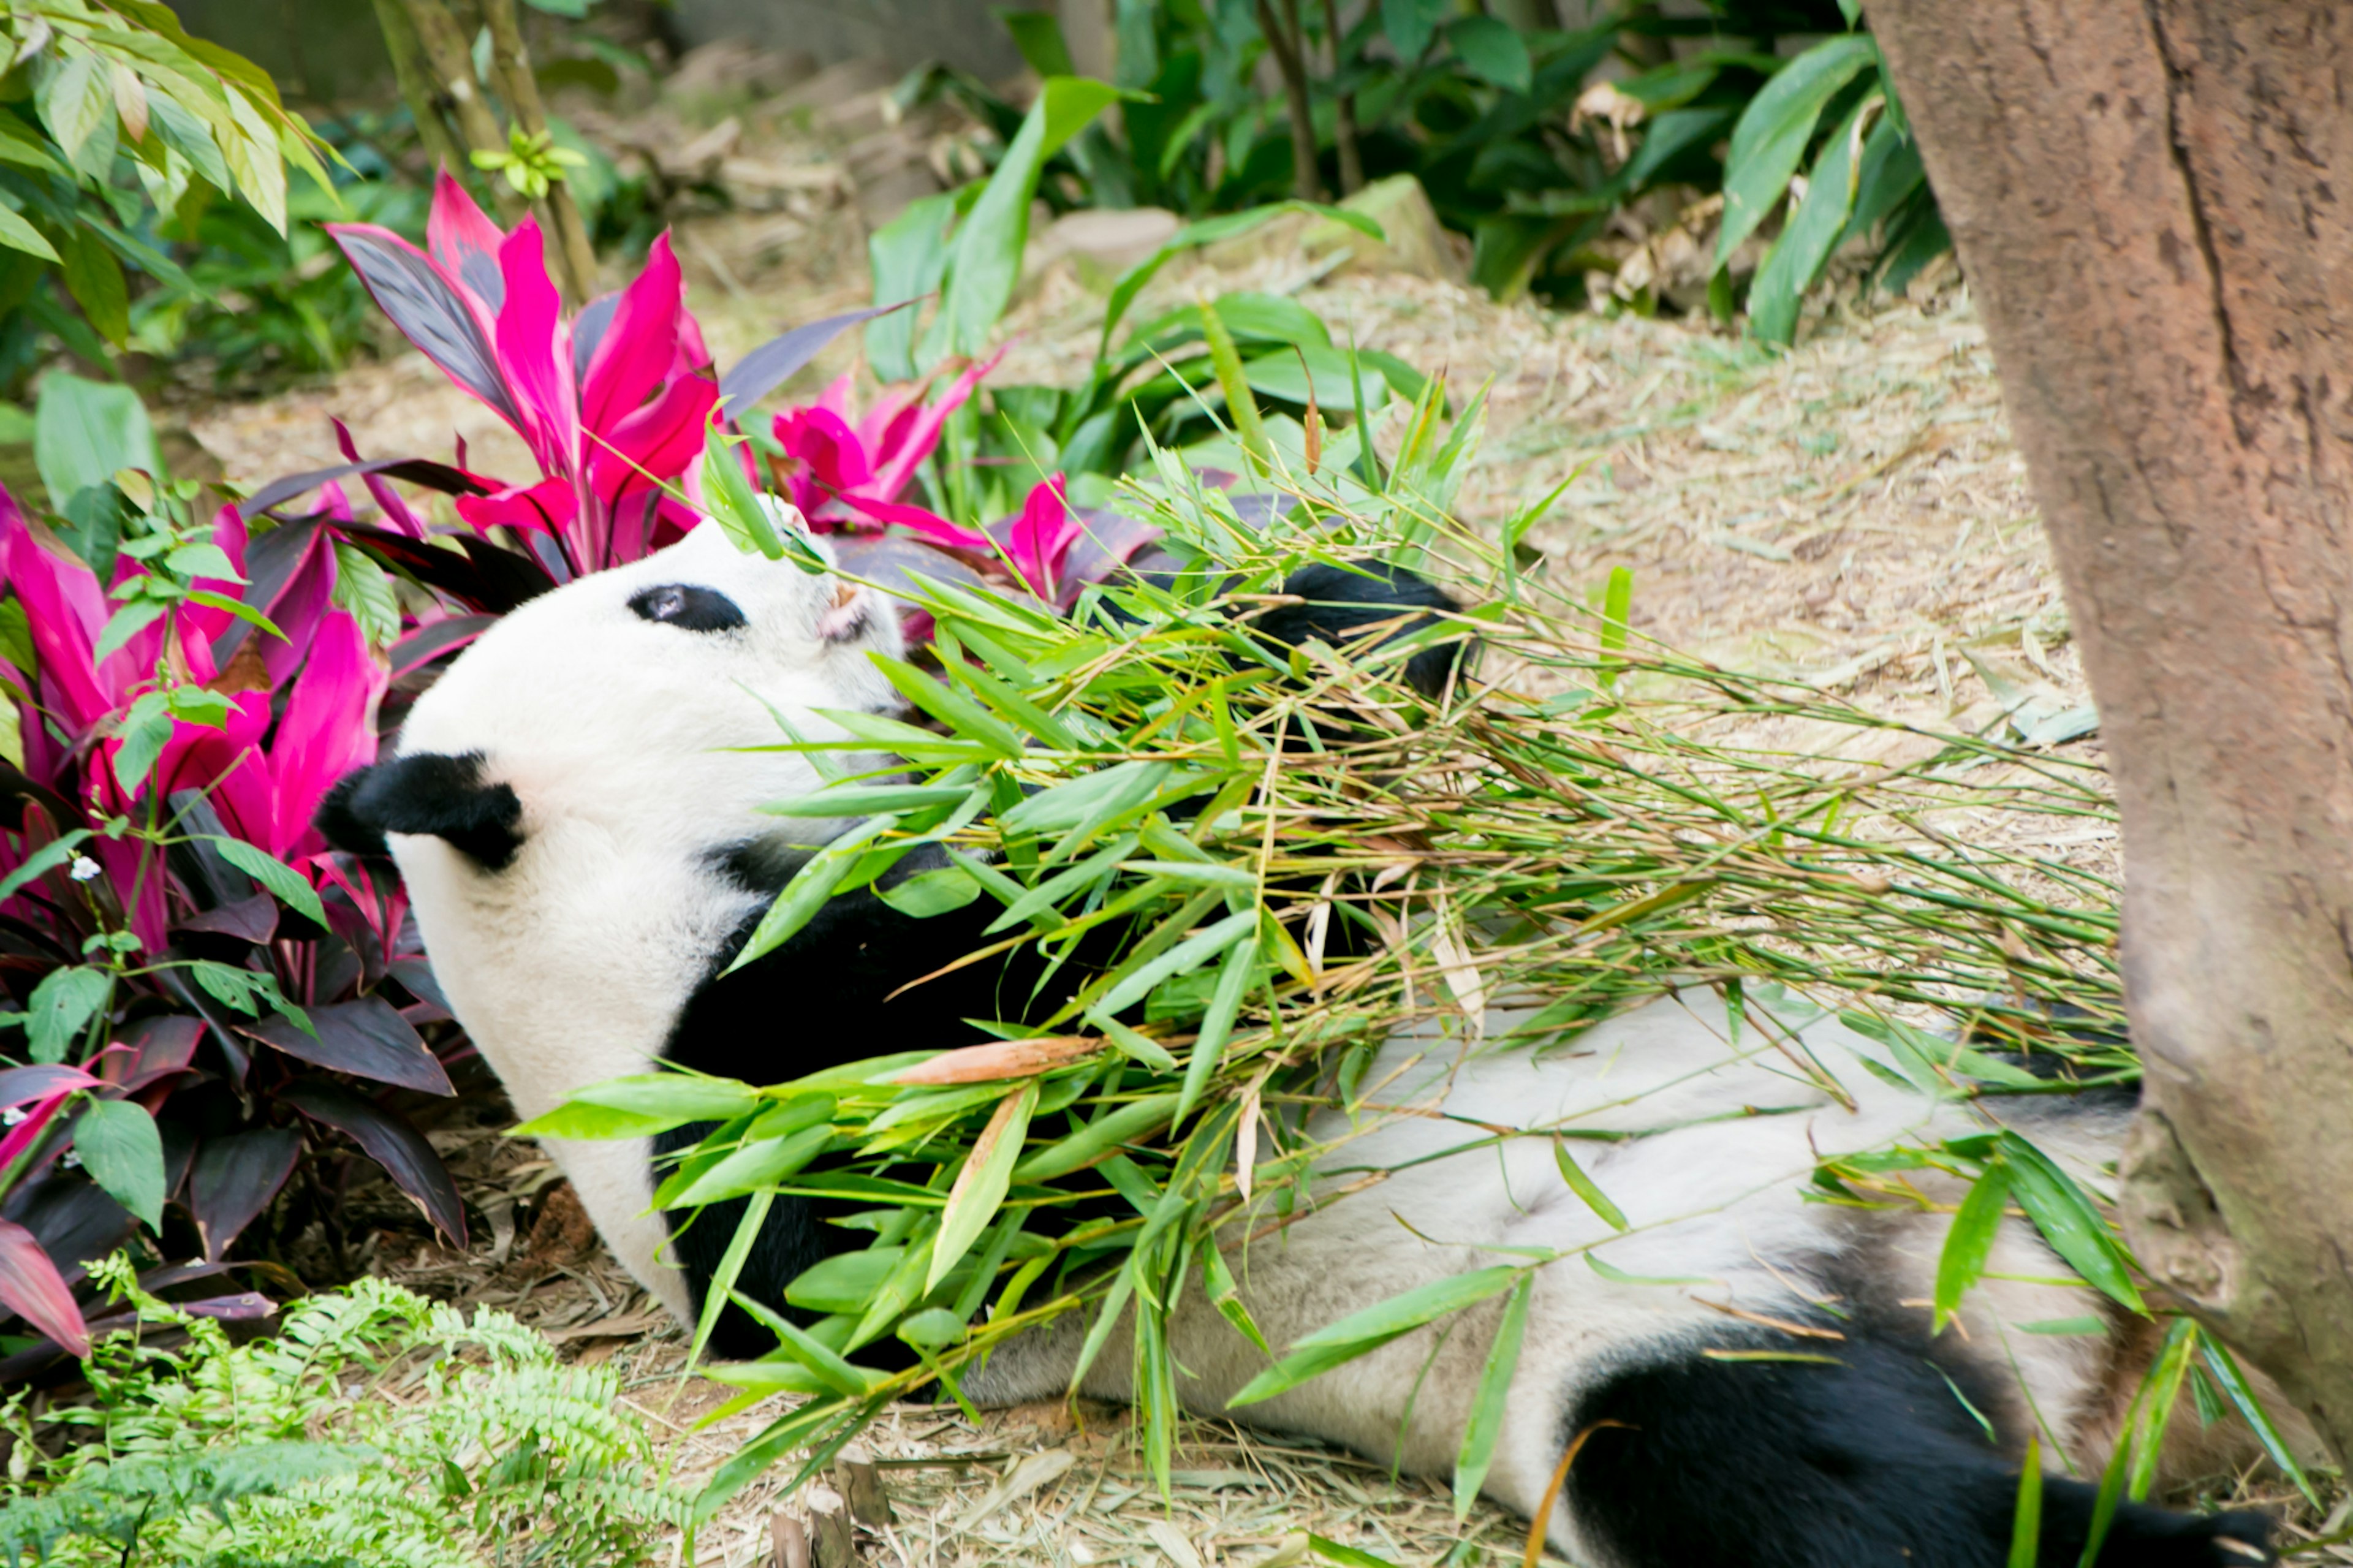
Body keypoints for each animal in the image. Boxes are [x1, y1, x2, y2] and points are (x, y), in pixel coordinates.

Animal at [322, 515, 2287, 1563]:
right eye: (683, 603)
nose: (821, 555)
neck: (615, 929)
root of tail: (2042, 1288)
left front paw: (1290, 601)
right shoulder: (747, 1093)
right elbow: (1012, 1087)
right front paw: (1297, 651)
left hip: (1938, 1054)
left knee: (2051, 1038)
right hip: (1651, 1310)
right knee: (1813, 1489)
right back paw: (2211, 1541)